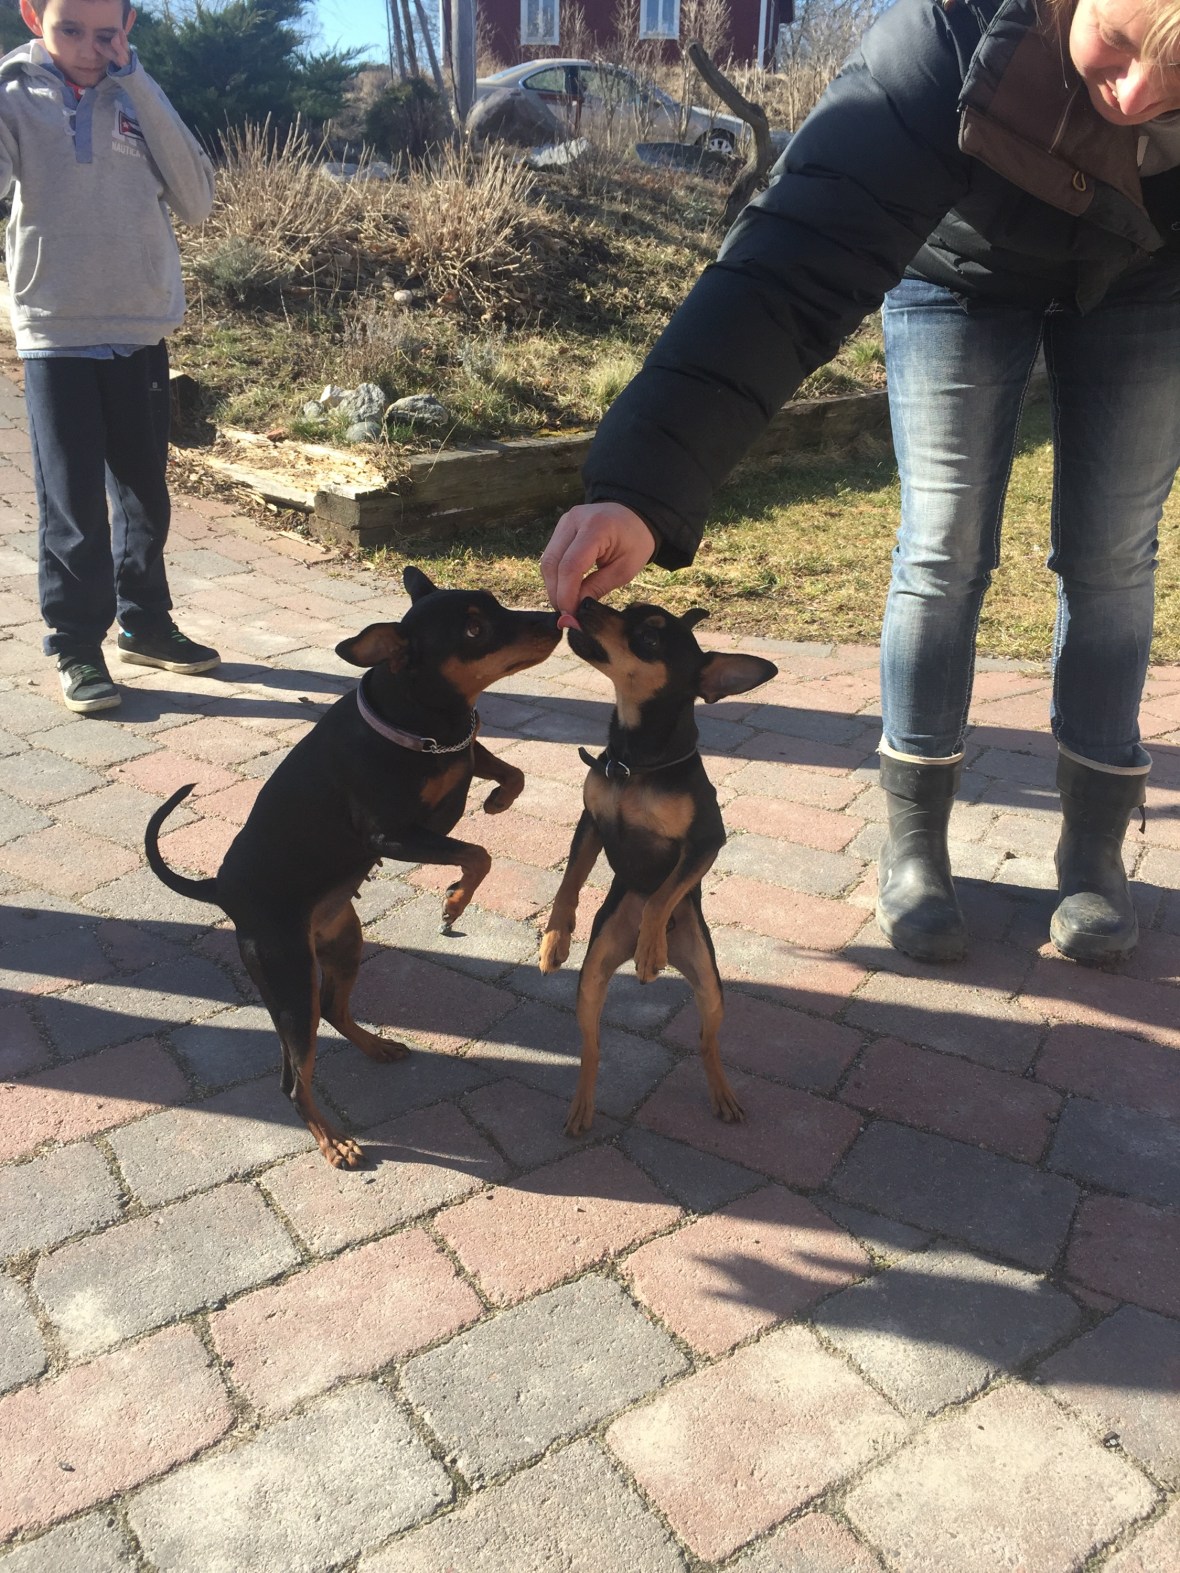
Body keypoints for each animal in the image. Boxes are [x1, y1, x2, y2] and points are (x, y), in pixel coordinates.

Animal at [145, 567, 560, 1167]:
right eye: (475, 630)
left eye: (496, 606)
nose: (556, 621)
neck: (418, 715)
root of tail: (222, 889)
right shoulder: (393, 833)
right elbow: (477, 853)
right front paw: (456, 902)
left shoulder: (460, 759)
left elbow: (509, 773)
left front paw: (499, 801)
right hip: (289, 980)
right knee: (294, 1077)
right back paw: (335, 1142)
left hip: (345, 944)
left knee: (335, 1012)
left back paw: (377, 1046)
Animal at [540, 598, 777, 1133]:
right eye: (625, 607)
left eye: (649, 638)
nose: (586, 601)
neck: (635, 761)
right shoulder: (590, 823)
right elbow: (569, 883)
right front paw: (555, 938)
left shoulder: (706, 843)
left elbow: (662, 895)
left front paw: (651, 951)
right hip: (592, 979)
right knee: (592, 1048)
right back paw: (582, 1105)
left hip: (709, 984)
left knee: (707, 1042)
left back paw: (722, 1094)